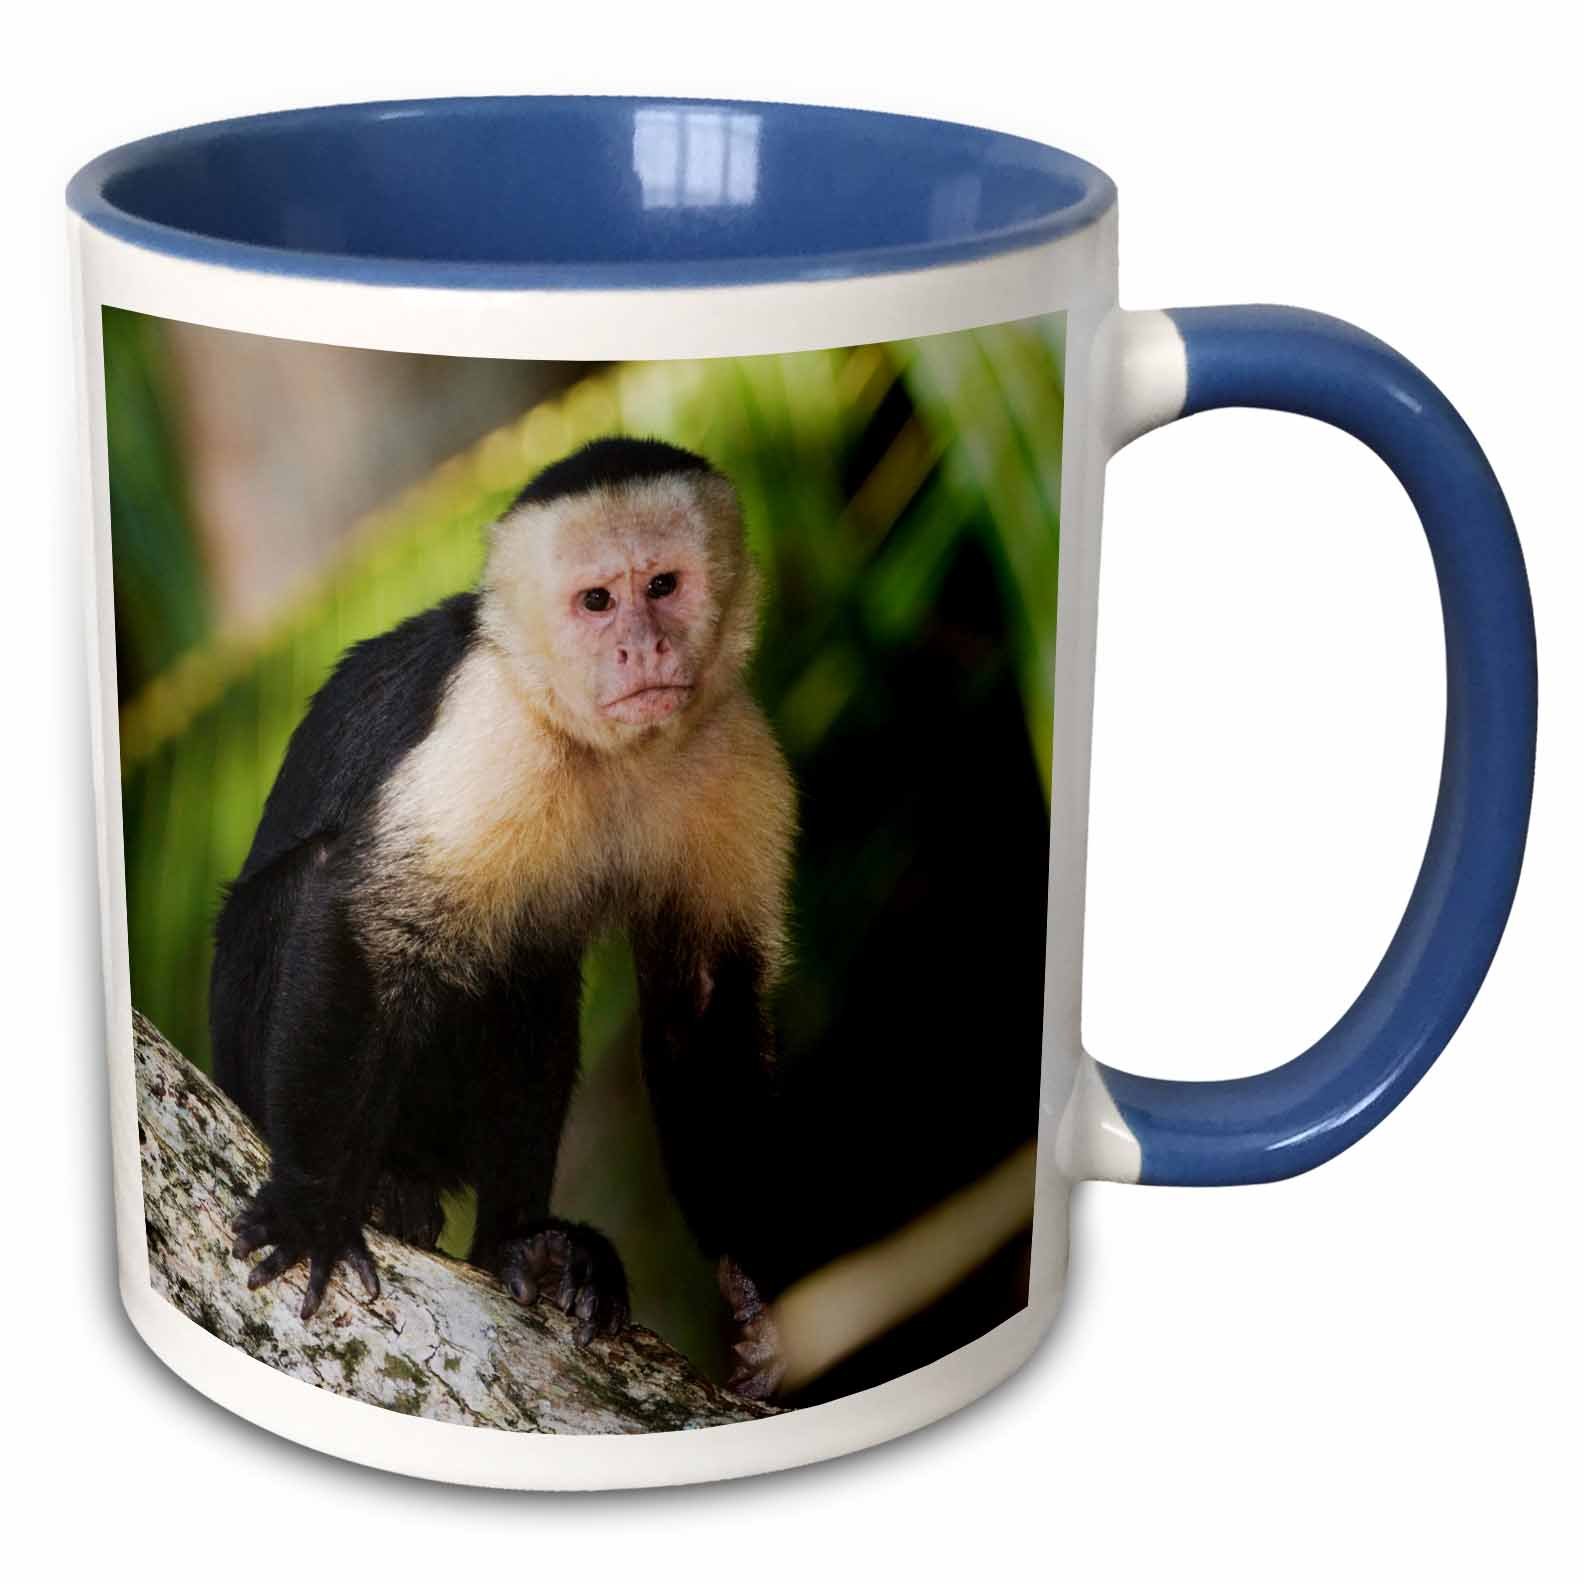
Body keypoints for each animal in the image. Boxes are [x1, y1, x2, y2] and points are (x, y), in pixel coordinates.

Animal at [210, 437, 796, 1357]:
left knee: (530, 974)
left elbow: (705, 1010)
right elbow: (362, 923)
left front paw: (754, 1287)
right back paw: (385, 1187)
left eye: (663, 586)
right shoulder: (490, 726)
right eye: (597, 601)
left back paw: (521, 1245)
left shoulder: (736, 746)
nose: (642, 649)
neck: (604, 743)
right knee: (326, 885)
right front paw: (310, 1206)